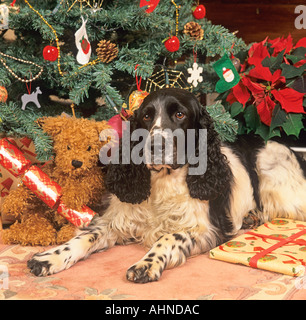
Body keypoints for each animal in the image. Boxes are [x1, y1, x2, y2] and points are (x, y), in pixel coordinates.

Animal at [27, 87, 306, 282]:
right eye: (146, 116)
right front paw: (49, 258)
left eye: (180, 114)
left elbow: (170, 236)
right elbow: (87, 236)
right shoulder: (117, 220)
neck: (162, 181)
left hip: (278, 184)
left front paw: (146, 264)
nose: (154, 146)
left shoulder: (204, 229)